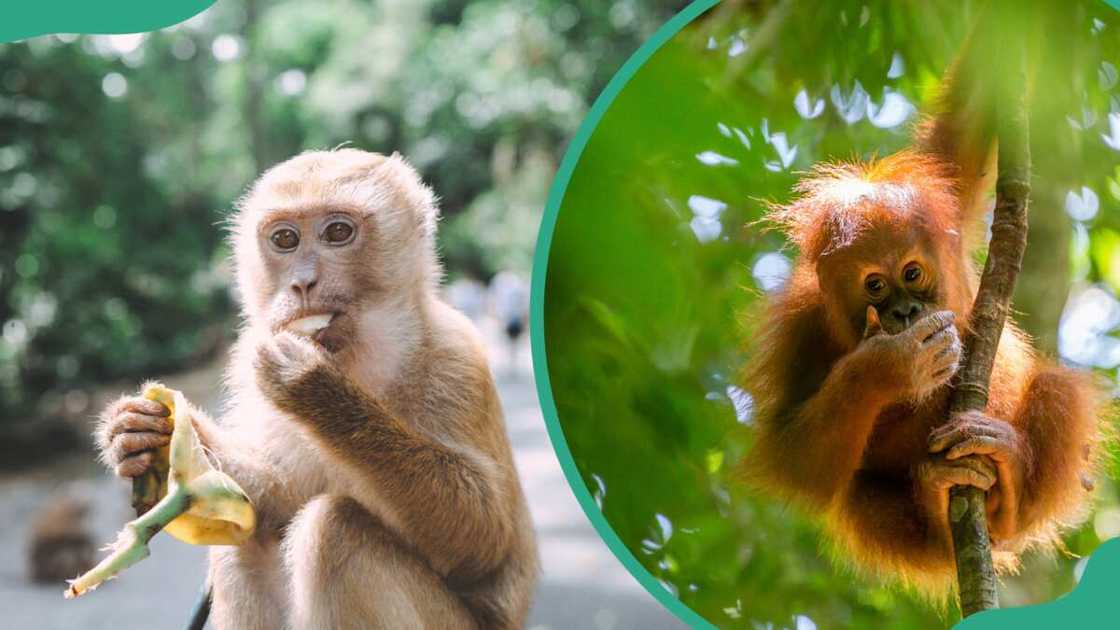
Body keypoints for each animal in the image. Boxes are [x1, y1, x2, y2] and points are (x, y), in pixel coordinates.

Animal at [91, 149, 537, 623]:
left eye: (338, 232)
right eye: (285, 239)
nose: (302, 282)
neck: (357, 356)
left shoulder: (457, 359)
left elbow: (484, 540)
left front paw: (314, 388)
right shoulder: (248, 355)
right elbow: (277, 497)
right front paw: (135, 432)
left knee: (336, 532)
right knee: (245, 543)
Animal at [739, 57, 1106, 587]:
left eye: (912, 273)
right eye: (874, 285)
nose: (905, 313)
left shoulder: (946, 200)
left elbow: (972, 114)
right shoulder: (798, 328)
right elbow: (792, 457)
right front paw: (889, 366)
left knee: (1058, 391)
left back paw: (1009, 481)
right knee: (856, 495)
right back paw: (937, 508)